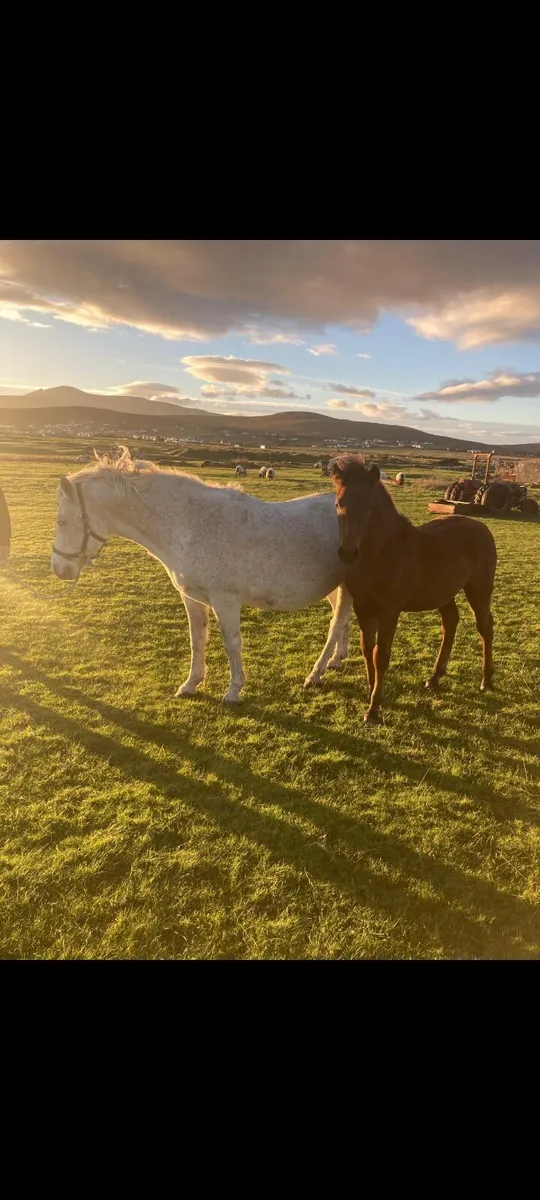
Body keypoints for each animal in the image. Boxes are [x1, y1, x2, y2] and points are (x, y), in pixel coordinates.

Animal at [51, 449, 353, 704]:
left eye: (62, 521)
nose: (59, 569)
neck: (189, 524)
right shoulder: (193, 597)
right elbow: (197, 639)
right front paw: (191, 683)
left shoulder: (225, 600)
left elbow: (232, 643)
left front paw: (234, 691)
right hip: (335, 588)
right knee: (344, 621)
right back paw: (336, 660)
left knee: (335, 624)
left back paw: (316, 673)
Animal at [330, 455, 497, 723]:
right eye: (337, 504)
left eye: (369, 507)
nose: (347, 553)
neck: (381, 552)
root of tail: (482, 527)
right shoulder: (363, 608)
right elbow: (367, 649)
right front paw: (372, 691)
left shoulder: (389, 611)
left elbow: (381, 655)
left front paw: (374, 708)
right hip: (444, 593)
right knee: (450, 623)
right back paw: (434, 678)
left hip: (479, 590)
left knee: (485, 627)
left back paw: (485, 680)